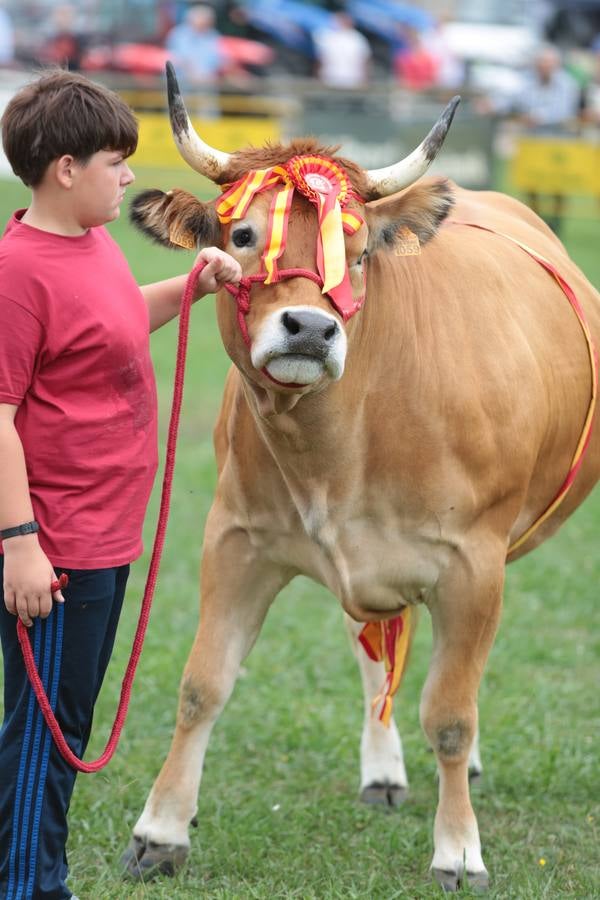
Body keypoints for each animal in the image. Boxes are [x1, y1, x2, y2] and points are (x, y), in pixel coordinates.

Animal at [120, 65, 600, 892]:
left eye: (357, 249)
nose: (312, 328)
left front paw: (459, 849)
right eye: (242, 236)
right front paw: (161, 831)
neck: (343, 444)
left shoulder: (473, 562)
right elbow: (201, 686)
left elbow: (451, 713)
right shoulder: (236, 538)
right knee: (375, 651)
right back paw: (383, 768)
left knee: (451, 677)